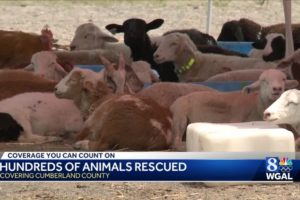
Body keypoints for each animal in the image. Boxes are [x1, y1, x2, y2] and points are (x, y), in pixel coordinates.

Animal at [170, 69, 298, 148]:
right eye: (264, 81)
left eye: (283, 79)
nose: (277, 88)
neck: (257, 105)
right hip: (180, 118)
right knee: (175, 142)